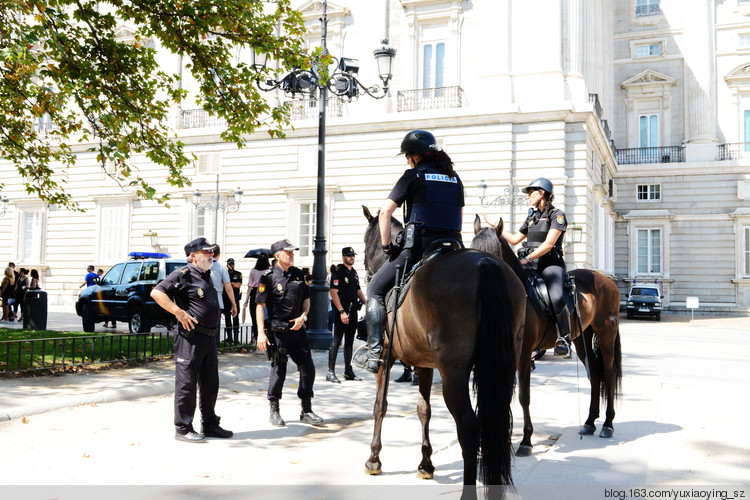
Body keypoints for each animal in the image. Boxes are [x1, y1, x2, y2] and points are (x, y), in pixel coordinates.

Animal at [364, 207, 528, 488]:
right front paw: (426, 464)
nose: (364, 273)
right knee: (497, 417)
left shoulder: (386, 357)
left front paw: (374, 459)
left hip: (454, 372)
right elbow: (424, 409)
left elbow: (380, 405)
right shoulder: (424, 364)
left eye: (365, 241)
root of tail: (486, 265)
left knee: (468, 426)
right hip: (502, 368)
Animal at [472, 215, 624, 458]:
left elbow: (523, 396)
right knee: (595, 374)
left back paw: (608, 425)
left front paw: (526, 440)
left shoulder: (523, 356)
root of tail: (606, 281)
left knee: (608, 374)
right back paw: (590, 422)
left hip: (606, 334)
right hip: (582, 338)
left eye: (492, 256)